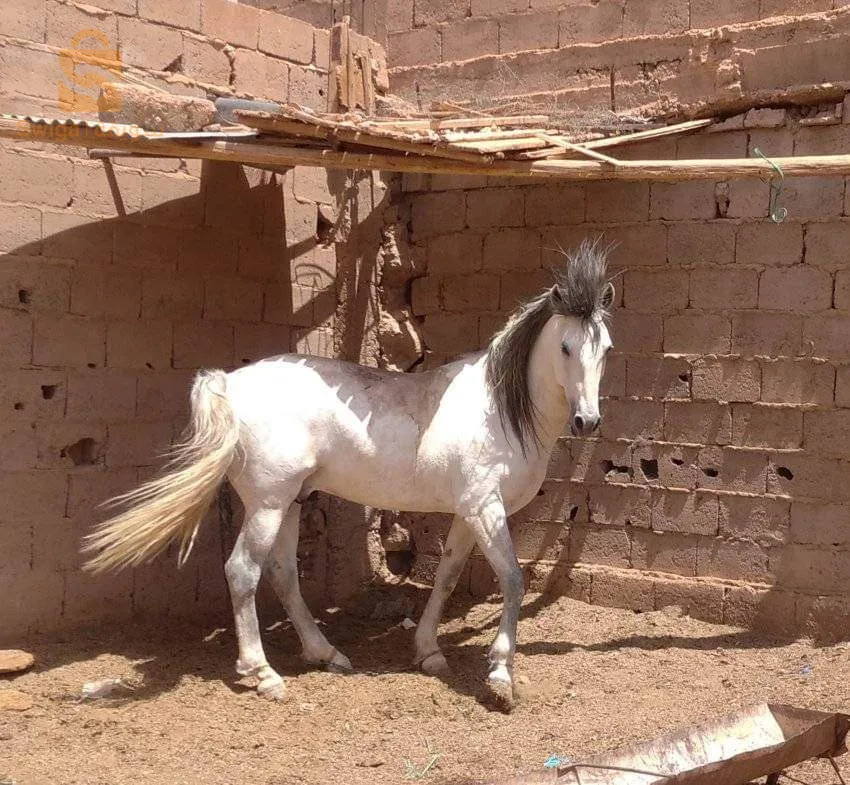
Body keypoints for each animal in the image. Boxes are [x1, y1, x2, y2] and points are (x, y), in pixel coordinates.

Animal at [82, 239, 614, 708]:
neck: (498, 411)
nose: (588, 421)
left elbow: (446, 577)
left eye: (606, 347)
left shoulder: (469, 513)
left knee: (282, 574)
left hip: (290, 503)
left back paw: (326, 654)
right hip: (268, 504)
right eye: (566, 347)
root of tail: (230, 383)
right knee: (243, 571)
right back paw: (264, 675)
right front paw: (501, 675)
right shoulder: (485, 508)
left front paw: (429, 652)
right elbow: (512, 580)